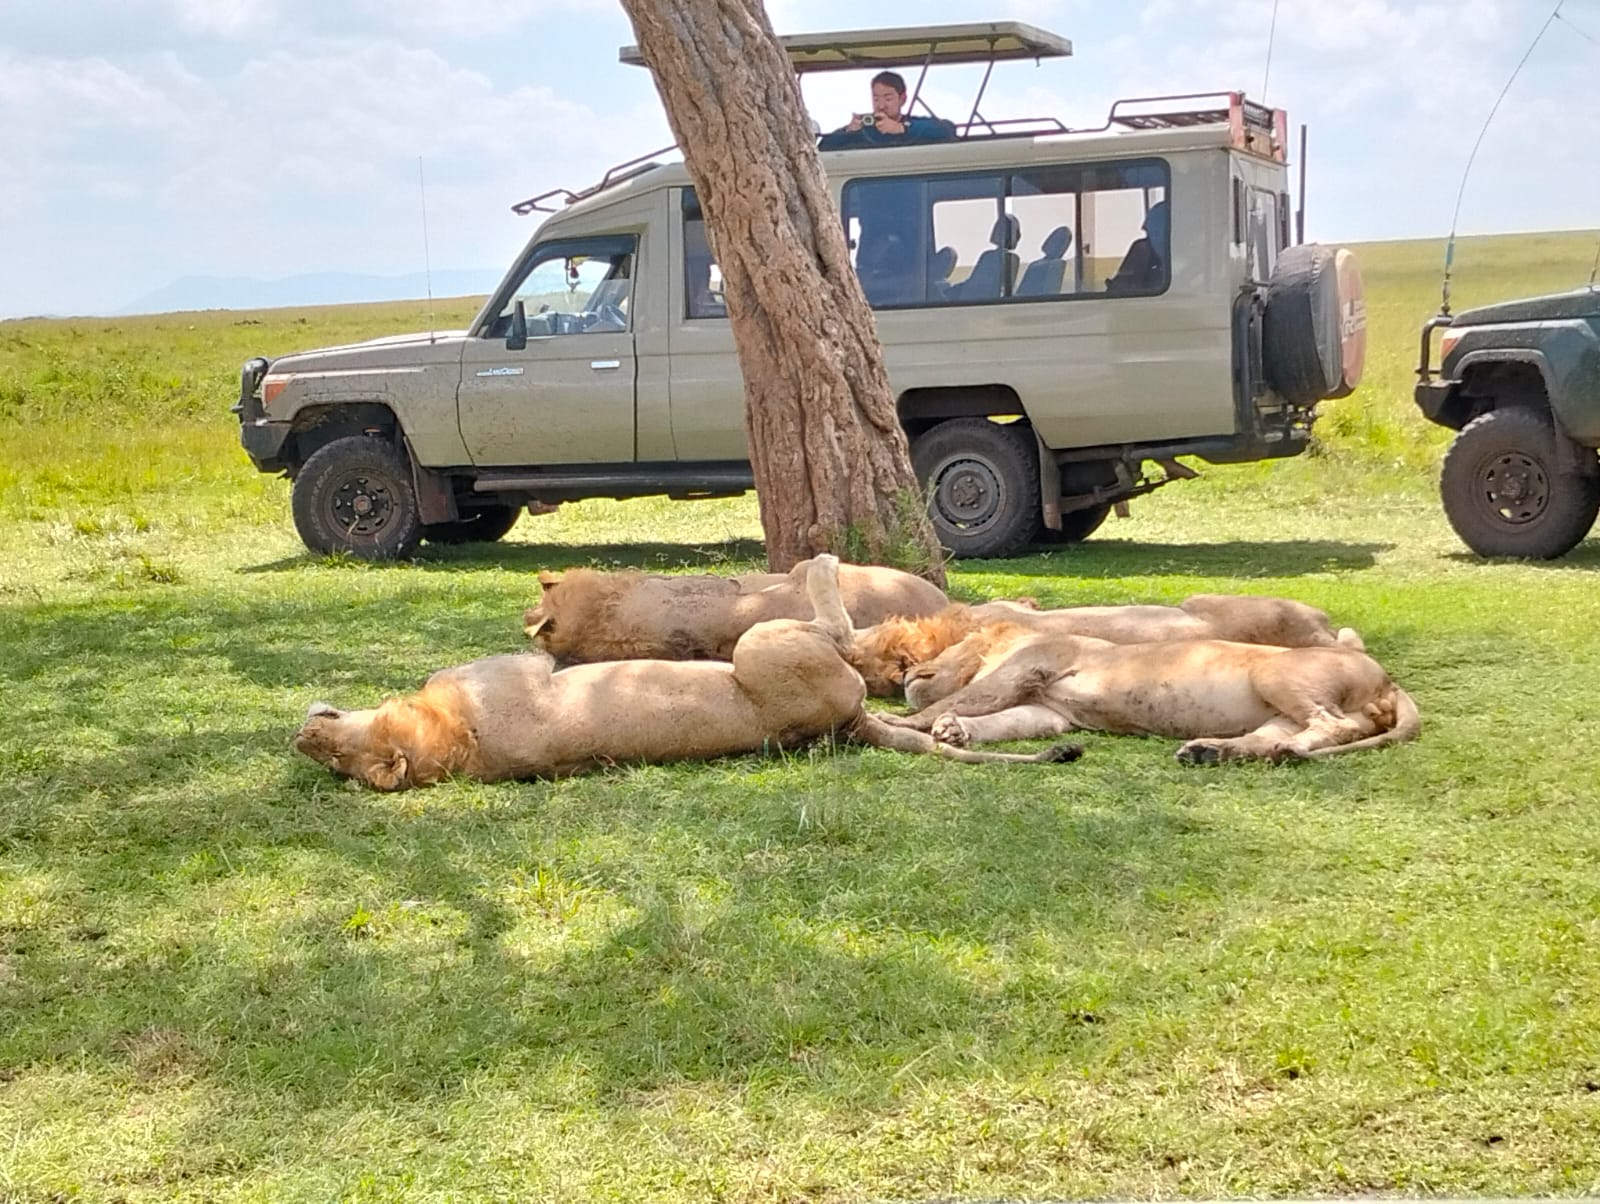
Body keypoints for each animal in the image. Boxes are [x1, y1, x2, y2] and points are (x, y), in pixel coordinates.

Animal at [879, 622, 1419, 763]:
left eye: (950, 646)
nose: (907, 674)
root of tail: (1390, 681)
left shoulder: (1028, 669)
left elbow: (957, 699)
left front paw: (899, 721)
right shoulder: (1047, 710)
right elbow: (999, 722)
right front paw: (956, 732)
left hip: (1279, 676)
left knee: (1334, 724)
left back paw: (1289, 750)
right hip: (1275, 711)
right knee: (1266, 740)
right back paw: (1208, 752)